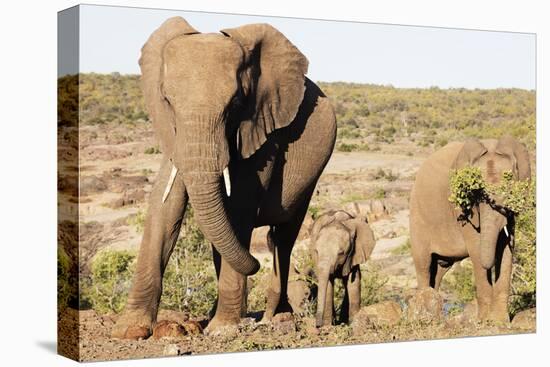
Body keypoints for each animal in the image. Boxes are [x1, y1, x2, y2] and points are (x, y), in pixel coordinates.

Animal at [112, 17, 336, 340]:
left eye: (235, 103)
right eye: (167, 101)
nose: (254, 264)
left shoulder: (262, 128)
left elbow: (240, 205)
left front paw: (223, 330)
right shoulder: (174, 135)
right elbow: (164, 206)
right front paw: (130, 329)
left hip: (311, 176)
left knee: (284, 237)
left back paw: (276, 316)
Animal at [412, 137, 532, 322]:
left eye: (509, 190)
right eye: (475, 193)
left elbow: (506, 249)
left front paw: (501, 322)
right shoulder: (462, 209)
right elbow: (476, 248)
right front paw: (484, 321)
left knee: (439, 270)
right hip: (418, 219)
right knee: (424, 265)